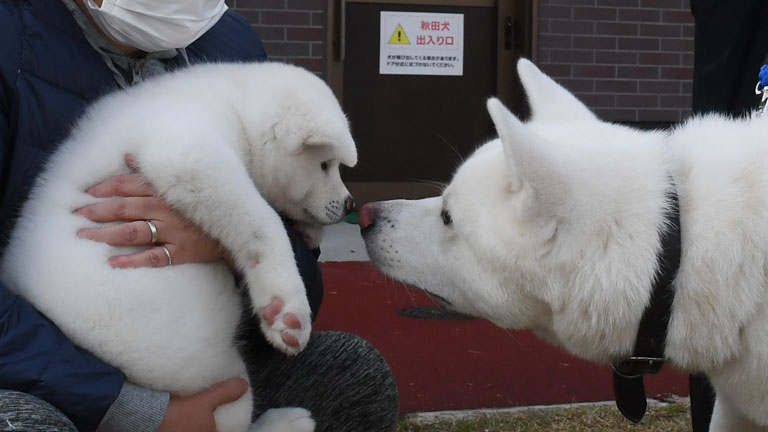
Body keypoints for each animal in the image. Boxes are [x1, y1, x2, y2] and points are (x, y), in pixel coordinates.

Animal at [0, 61, 356, 432]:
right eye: (325, 165)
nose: (350, 204)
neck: (235, 106)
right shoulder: (187, 155)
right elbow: (262, 220)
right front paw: (286, 308)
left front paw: (310, 232)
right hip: (214, 374)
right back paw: (285, 421)